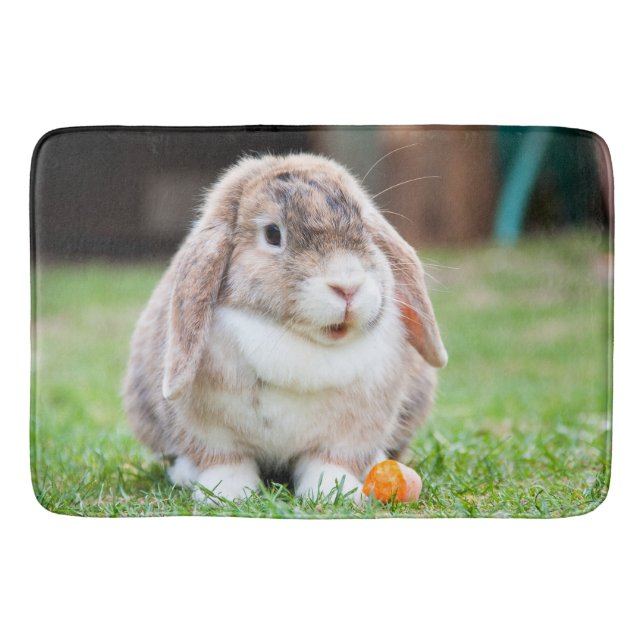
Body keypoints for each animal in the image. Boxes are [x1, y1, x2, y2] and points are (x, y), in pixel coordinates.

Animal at [123, 153, 447, 505]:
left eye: (364, 227)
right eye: (272, 234)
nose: (347, 287)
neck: (298, 340)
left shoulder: (349, 433)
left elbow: (329, 462)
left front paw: (334, 493)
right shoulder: (210, 432)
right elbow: (227, 461)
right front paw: (227, 494)